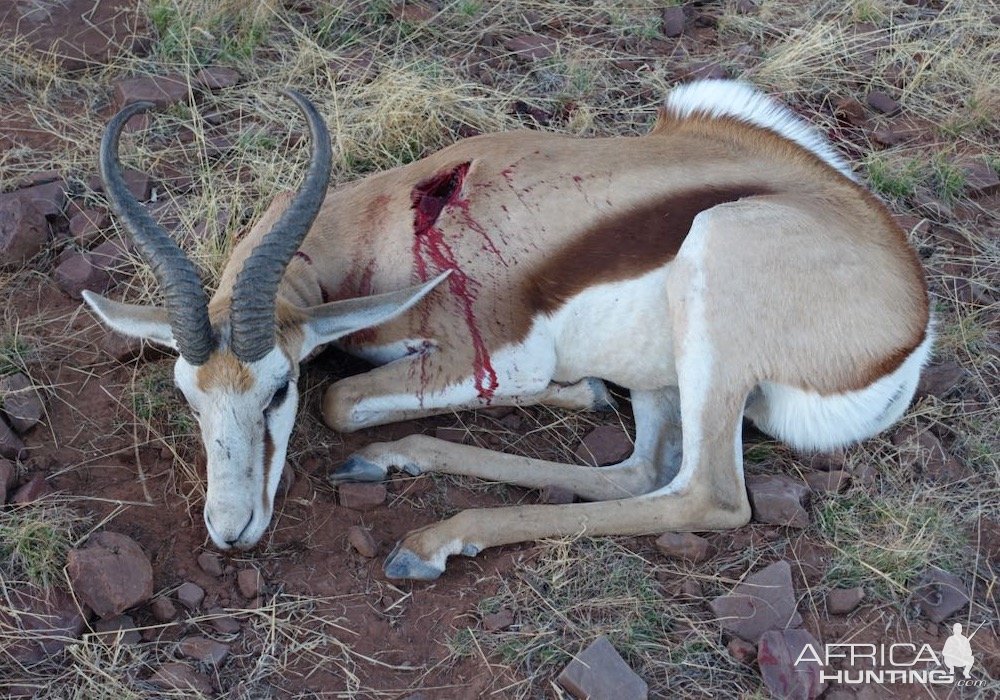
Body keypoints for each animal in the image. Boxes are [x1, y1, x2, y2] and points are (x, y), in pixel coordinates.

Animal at [84, 80, 928, 580]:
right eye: (189, 394)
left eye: (278, 389)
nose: (231, 531)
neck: (383, 229)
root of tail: (911, 324)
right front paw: (581, 393)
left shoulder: (499, 356)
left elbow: (342, 400)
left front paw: (575, 392)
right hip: (667, 370)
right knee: (640, 470)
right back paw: (390, 466)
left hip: (713, 275)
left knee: (708, 495)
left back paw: (429, 542)